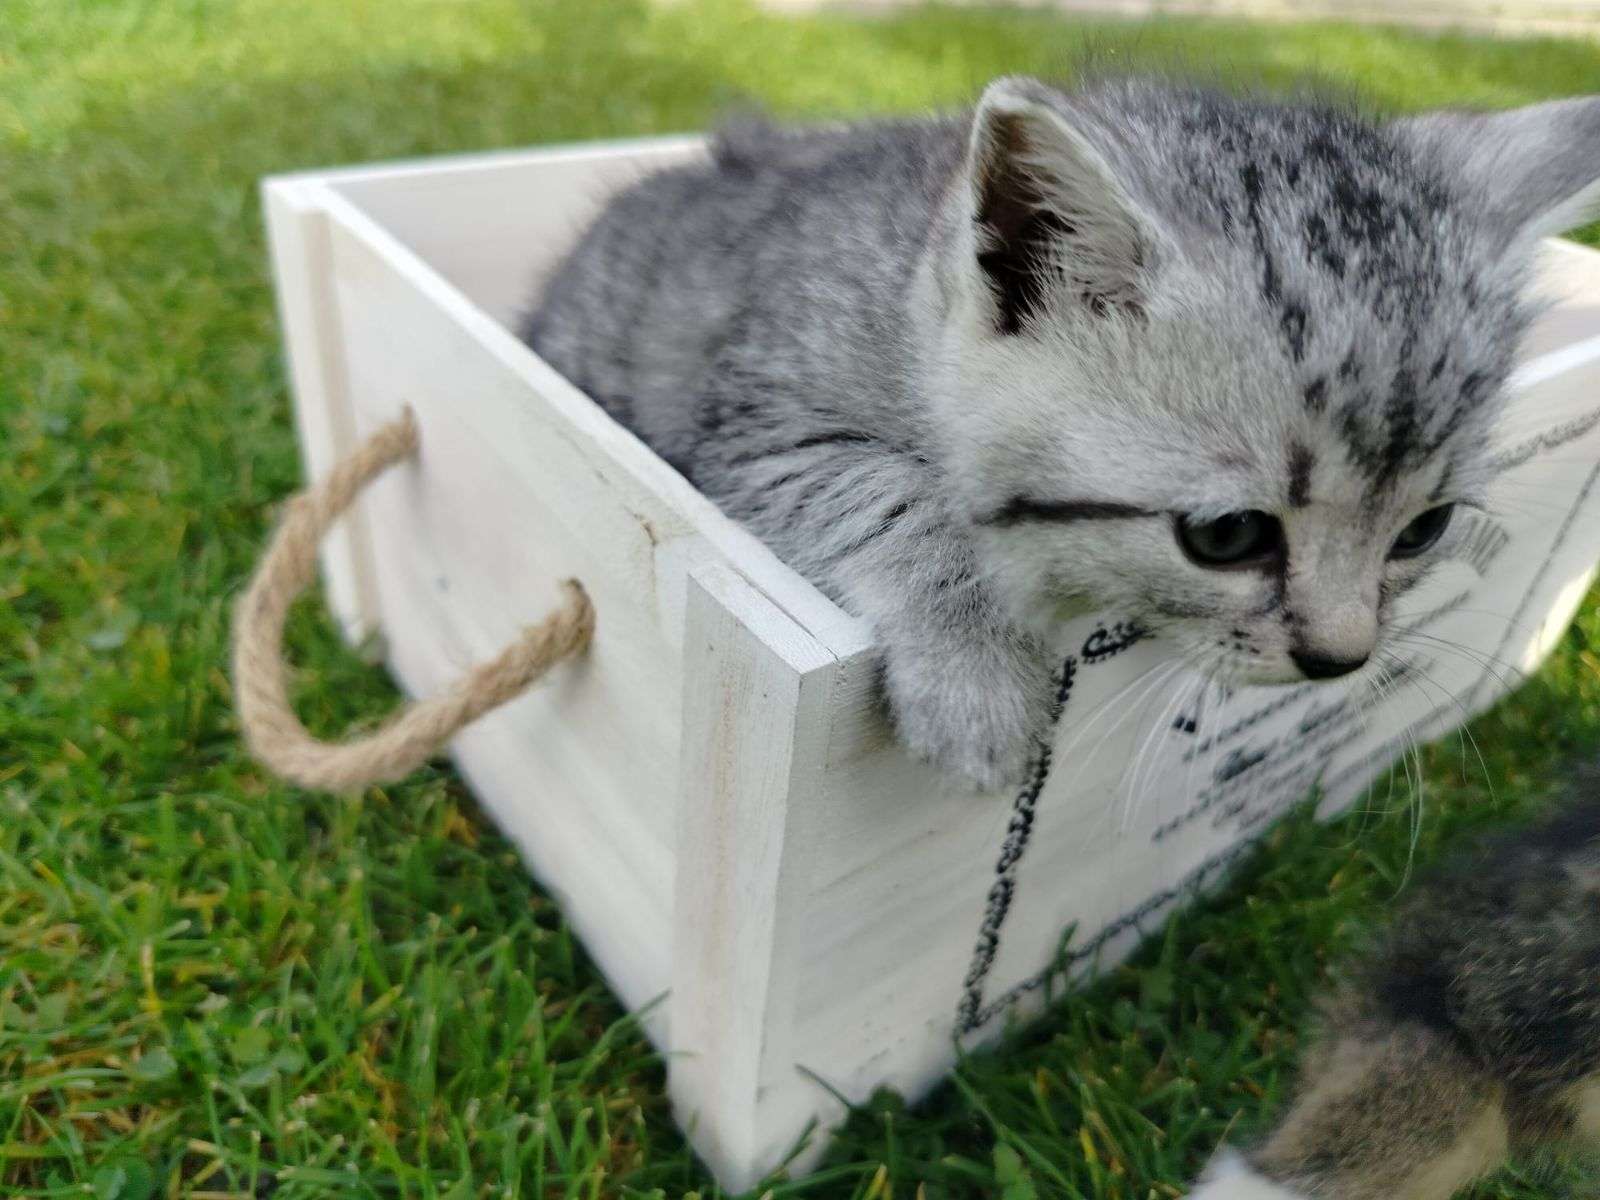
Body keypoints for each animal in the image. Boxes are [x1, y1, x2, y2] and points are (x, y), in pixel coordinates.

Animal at [521, 75, 1600, 790]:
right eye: (1227, 536)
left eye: (1424, 530)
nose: (1341, 658)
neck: (902, 286)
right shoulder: (753, 429)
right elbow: (887, 497)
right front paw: (976, 675)